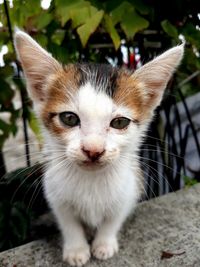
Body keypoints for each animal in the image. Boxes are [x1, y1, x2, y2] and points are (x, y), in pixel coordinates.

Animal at [13, 30, 183, 266]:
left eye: (119, 122)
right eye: (69, 118)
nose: (93, 150)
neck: (91, 180)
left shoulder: (129, 189)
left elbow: (113, 219)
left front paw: (104, 244)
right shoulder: (55, 194)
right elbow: (69, 222)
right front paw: (76, 249)